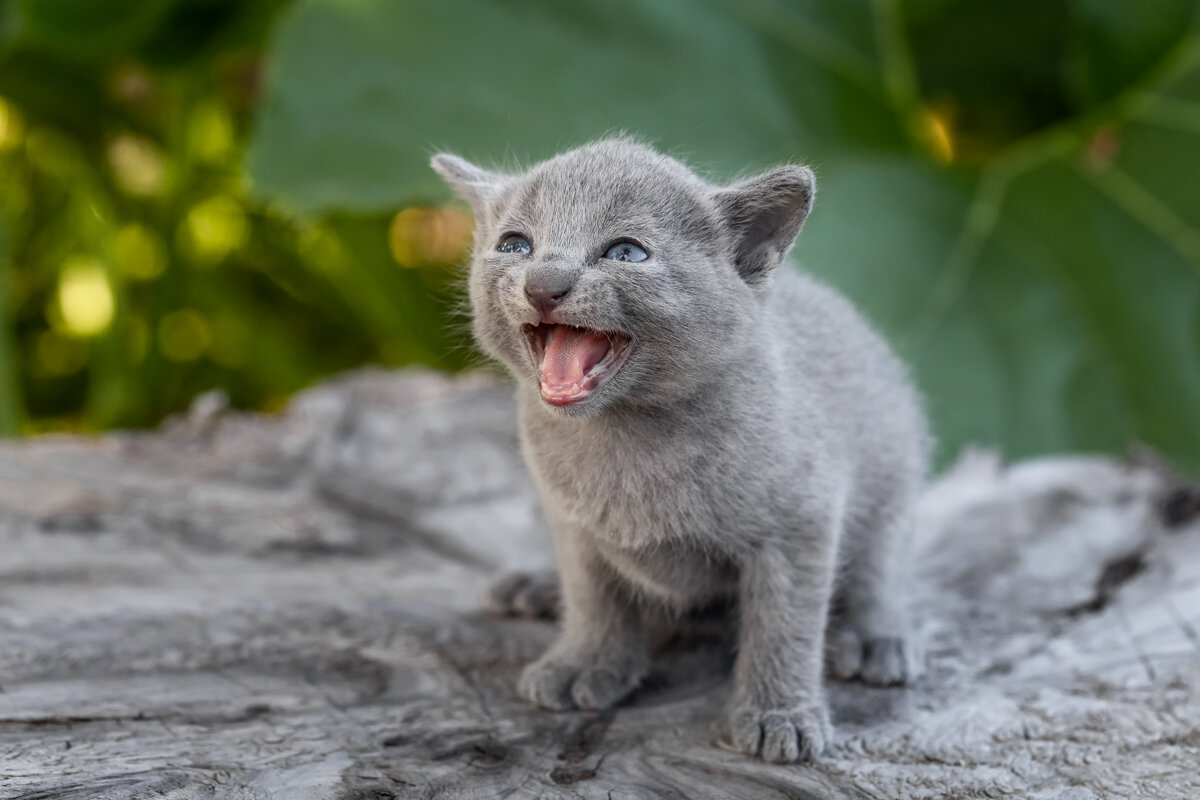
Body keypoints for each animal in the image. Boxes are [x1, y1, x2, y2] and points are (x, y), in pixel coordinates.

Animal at [432, 140, 926, 767]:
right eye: (515, 245)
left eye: (626, 252)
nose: (544, 282)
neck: (624, 439)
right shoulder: (572, 521)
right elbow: (591, 594)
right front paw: (585, 662)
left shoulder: (801, 523)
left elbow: (784, 623)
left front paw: (780, 714)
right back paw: (534, 587)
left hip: (895, 473)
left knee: (881, 564)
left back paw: (875, 639)